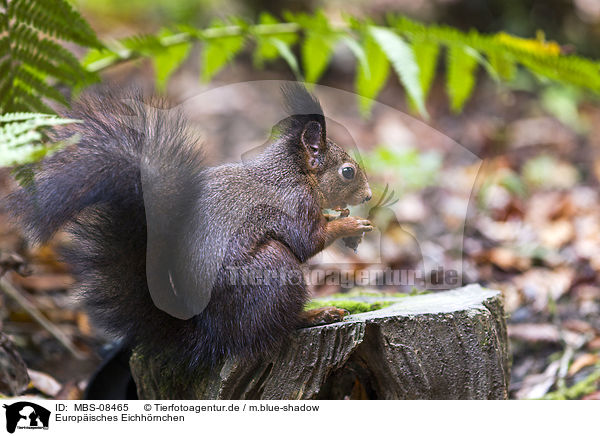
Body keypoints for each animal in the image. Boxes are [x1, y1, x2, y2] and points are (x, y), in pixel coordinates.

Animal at [3, 84, 370, 372]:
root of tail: (210, 336)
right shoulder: (292, 204)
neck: (294, 173)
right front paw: (350, 223)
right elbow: (307, 241)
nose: (367, 196)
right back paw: (315, 314)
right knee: (271, 329)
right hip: (273, 269)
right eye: (347, 172)